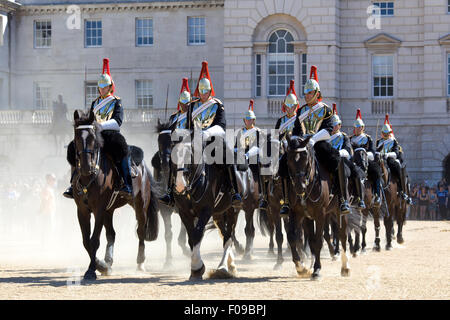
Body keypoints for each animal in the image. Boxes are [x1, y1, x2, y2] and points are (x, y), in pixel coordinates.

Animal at [71, 110, 158, 280]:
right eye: (77, 137)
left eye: (92, 137)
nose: (86, 167)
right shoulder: (82, 210)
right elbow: (86, 241)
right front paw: (101, 266)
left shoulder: (98, 209)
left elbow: (94, 240)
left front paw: (92, 270)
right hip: (109, 210)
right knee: (111, 234)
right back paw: (108, 261)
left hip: (140, 205)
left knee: (141, 231)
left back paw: (140, 263)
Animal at [171, 129, 253, 278]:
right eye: (171, 157)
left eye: (189, 156)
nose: (180, 186)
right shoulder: (184, 213)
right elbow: (192, 238)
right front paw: (197, 268)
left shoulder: (205, 211)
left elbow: (197, 234)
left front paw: (197, 268)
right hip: (218, 214)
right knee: (224, 234)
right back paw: (230, 265)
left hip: (233, 211)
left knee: (228, 237)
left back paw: (223, 268)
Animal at [286, 136, 354, 278]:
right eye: (288, 158)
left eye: (305, 158)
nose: (300, 187)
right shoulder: (296, 213)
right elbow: (292, 237)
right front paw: (301, 267)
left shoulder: (320, 214)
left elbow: (318, 240)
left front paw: (317, 269)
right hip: (310, 217)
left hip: (339, 211)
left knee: (342, 234)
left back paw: (345, 267)